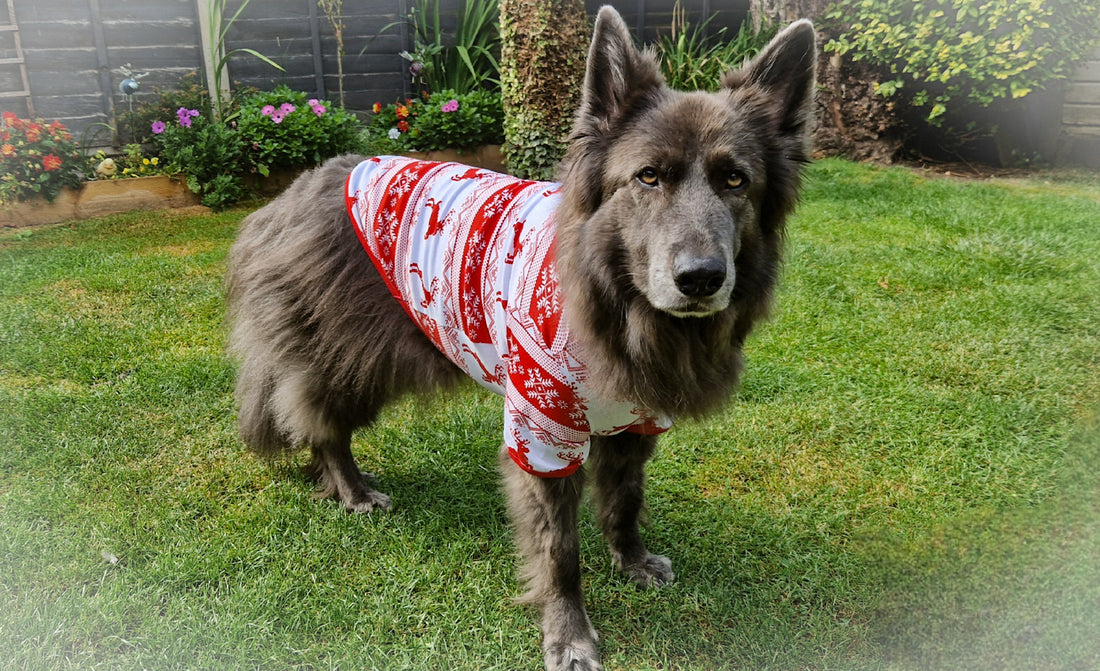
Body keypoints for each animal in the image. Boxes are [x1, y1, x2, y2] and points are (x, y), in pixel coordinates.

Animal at [225, 6, 818, 668]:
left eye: (736, 180)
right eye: (648, 177)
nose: (700, 278)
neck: (612, 302)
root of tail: (295, 192)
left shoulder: (635, 422)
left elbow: (625, 501)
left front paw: (631, 560)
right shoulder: (542, 437)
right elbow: (560, 554)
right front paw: (569, 634)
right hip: (350, 361)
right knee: (322, 424)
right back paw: (350, 490)